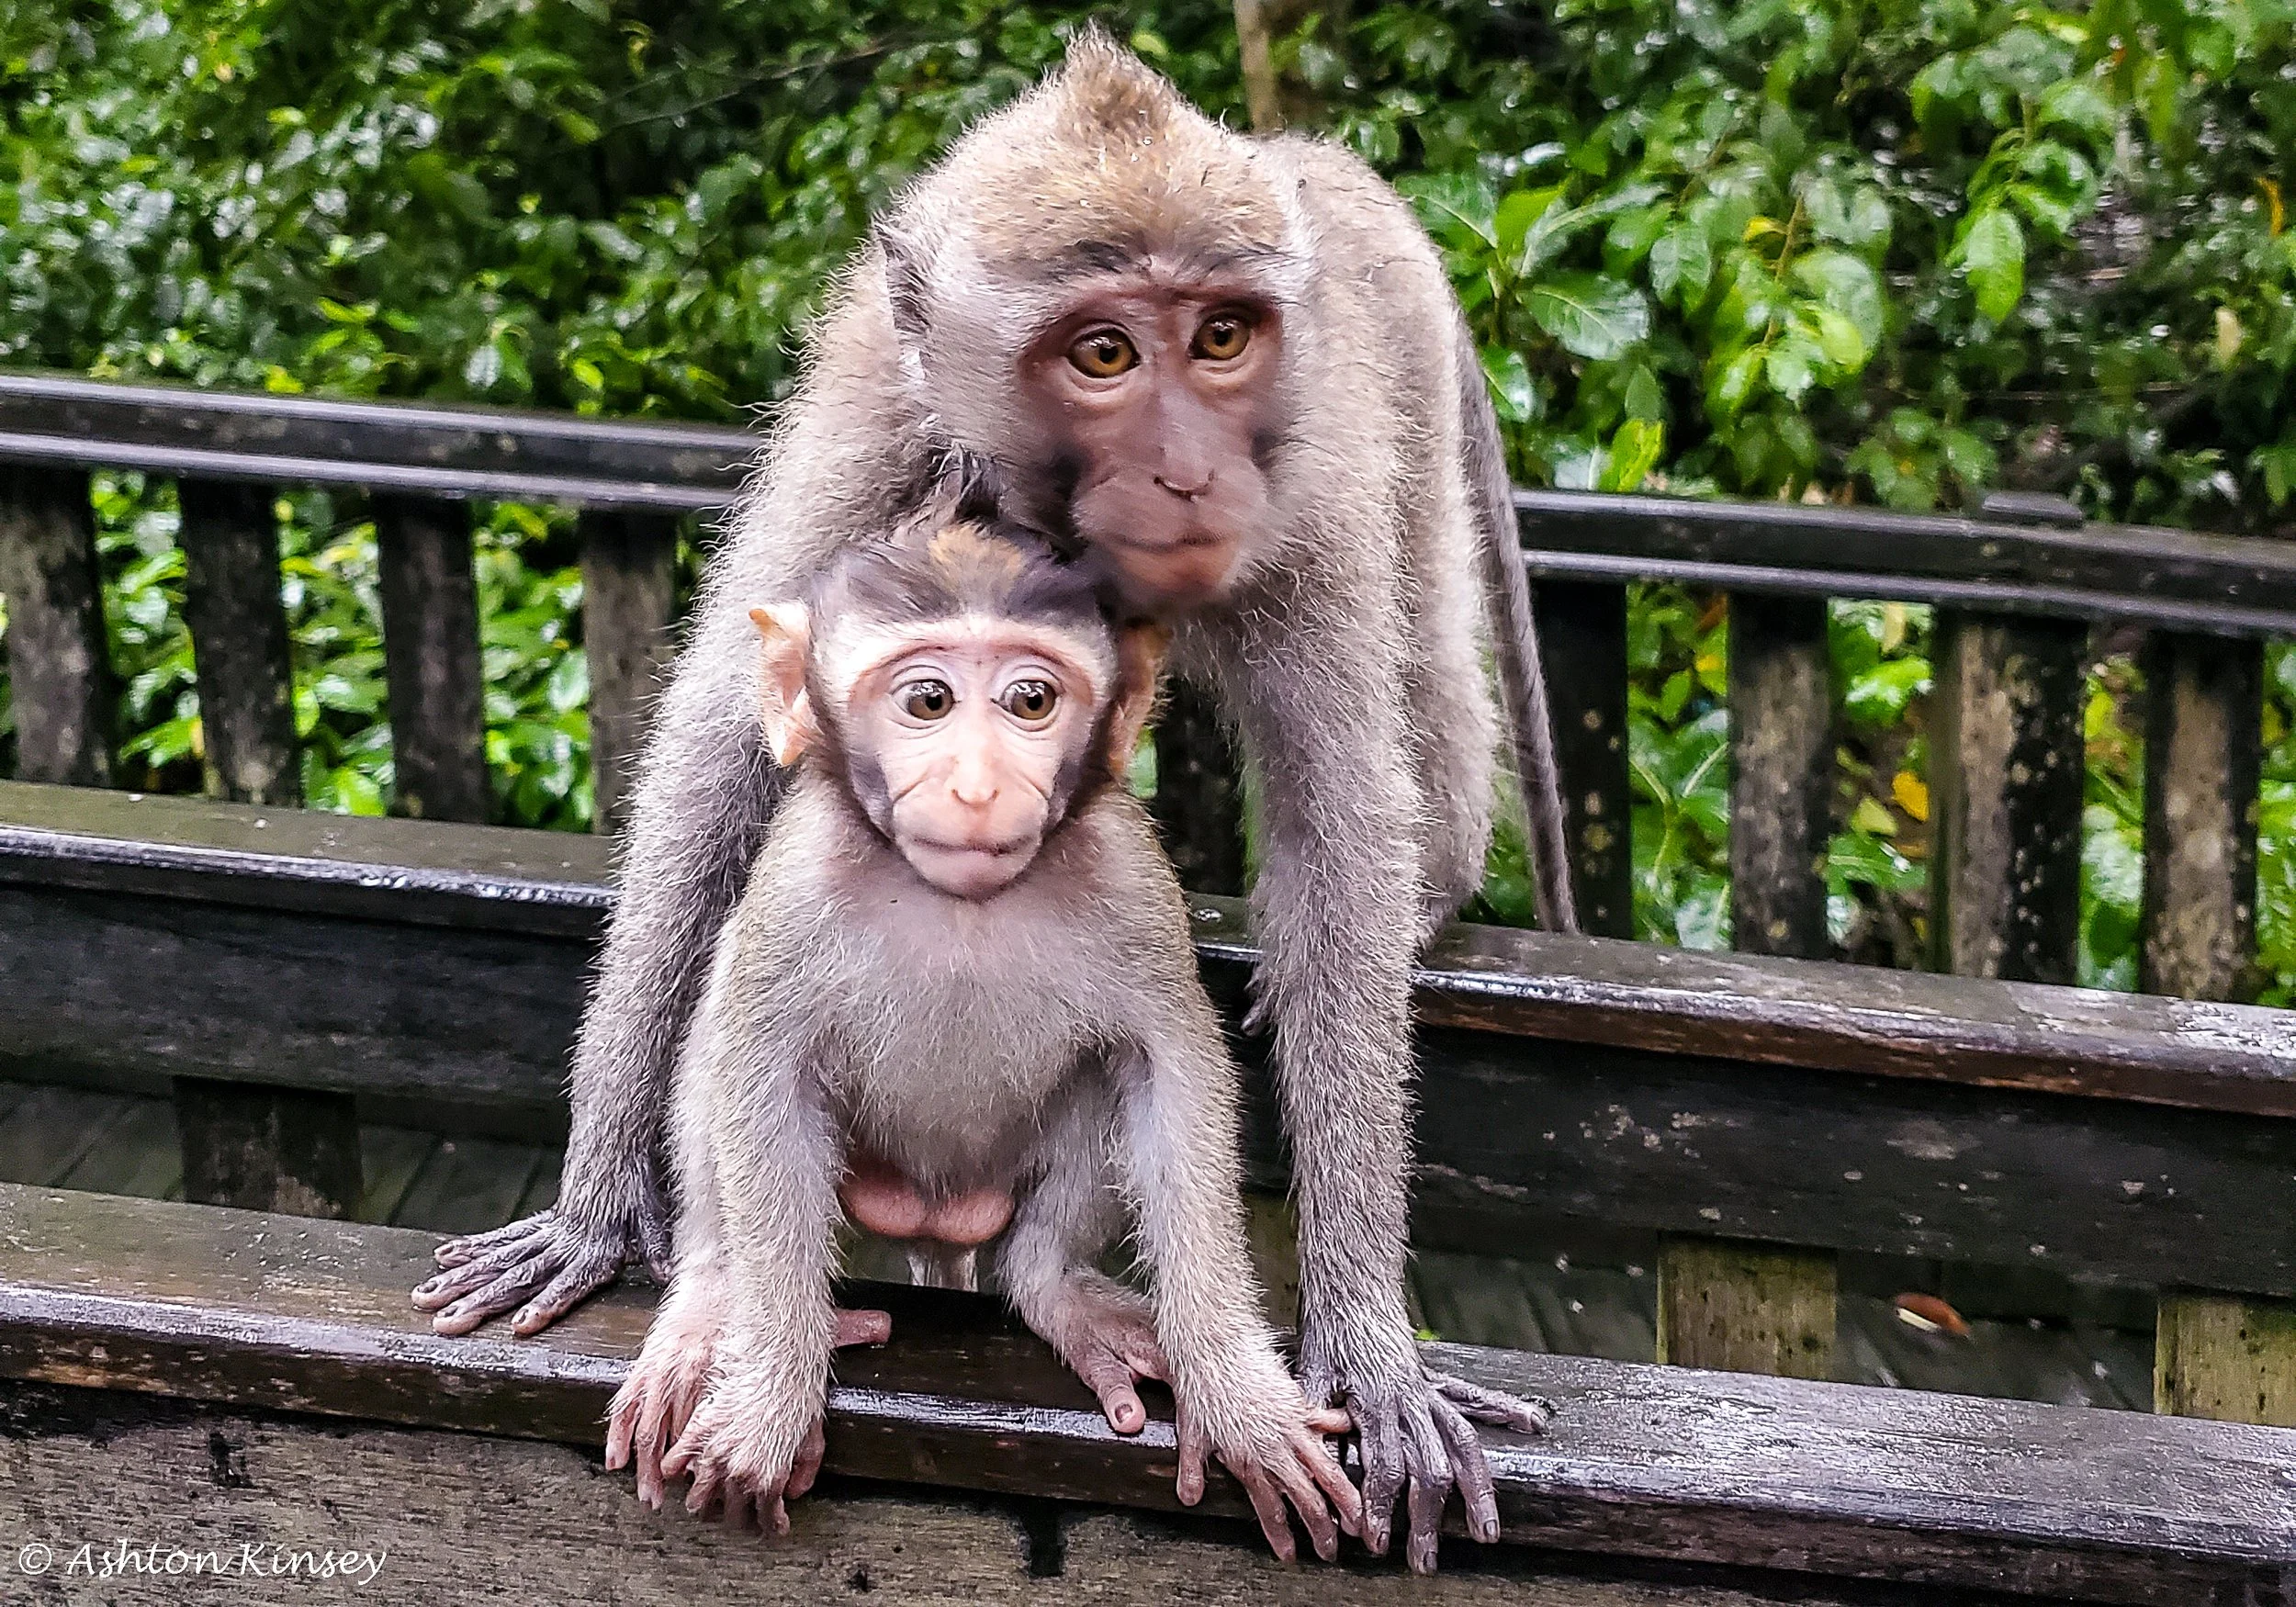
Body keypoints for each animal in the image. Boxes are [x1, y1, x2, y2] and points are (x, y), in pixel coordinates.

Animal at [600, 506, 1364, 1561]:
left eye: (1030, 699)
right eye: (927, 699)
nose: (975, 786)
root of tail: (935, 1210)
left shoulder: (1128, 877)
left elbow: (1170, 1070)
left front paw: (1238, 1392)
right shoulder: (798, 883)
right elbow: (757, 1067)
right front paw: (769, 1392)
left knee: (1100, 1087)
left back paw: (1053, 1287)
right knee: (719, 1037)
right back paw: (716, 1297)